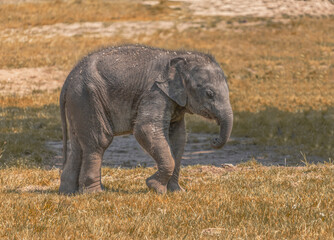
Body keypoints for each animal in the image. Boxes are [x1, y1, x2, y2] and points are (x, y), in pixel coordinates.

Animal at [59, 44, 232, 194]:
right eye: (209, 93)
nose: (214, 140)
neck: (178, 56)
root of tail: (69, 78)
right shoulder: (155, 93)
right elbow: (145, 129)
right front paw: (155, 188)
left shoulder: (174, 100)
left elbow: (179, 138)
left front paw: (177, 192)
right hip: (88, 97)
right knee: (99, 141)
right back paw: (95, 193)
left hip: (78, 101)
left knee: (78, 145)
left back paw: (68, 192)